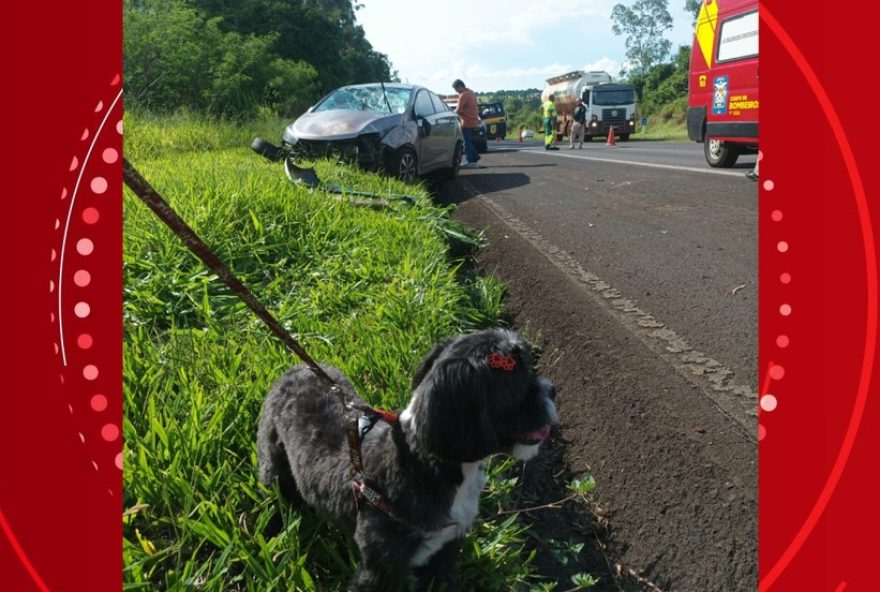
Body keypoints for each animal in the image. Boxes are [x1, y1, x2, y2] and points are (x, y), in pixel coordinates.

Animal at [258, 328, 556, 592]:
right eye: (519, 386)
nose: (552, 389)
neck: (430, 463)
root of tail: (296, 368)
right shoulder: (381, 567)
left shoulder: (445, 548)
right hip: (272, 458)